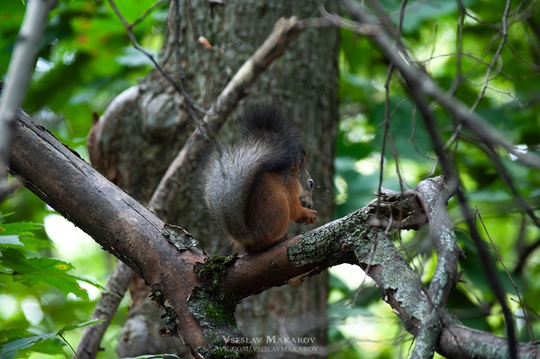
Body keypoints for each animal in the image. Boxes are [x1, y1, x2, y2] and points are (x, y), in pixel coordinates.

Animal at [201, 102, 318, 252]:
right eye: (311, 184)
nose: (309, 204)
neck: (291, 178)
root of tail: (251, 236)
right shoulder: (290, 190)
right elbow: (294, 209)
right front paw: (307, 213)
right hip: (279, 207)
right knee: (265, 242)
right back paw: (282, 238)